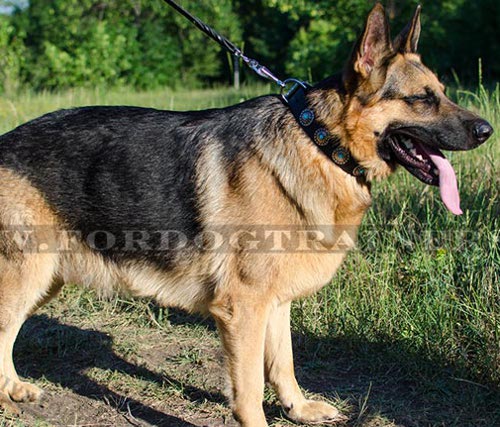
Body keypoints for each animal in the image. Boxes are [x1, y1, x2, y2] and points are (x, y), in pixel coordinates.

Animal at [0, 4, 492, 427]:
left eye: (443, 93)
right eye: (421, 99)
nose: (486, 130)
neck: (320, 143)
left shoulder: (274, 302)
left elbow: (284, 362)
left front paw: (297, 408)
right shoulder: (243, 309)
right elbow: (251, 386)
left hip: (43, 281)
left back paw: (13, 389)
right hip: (26, 277)